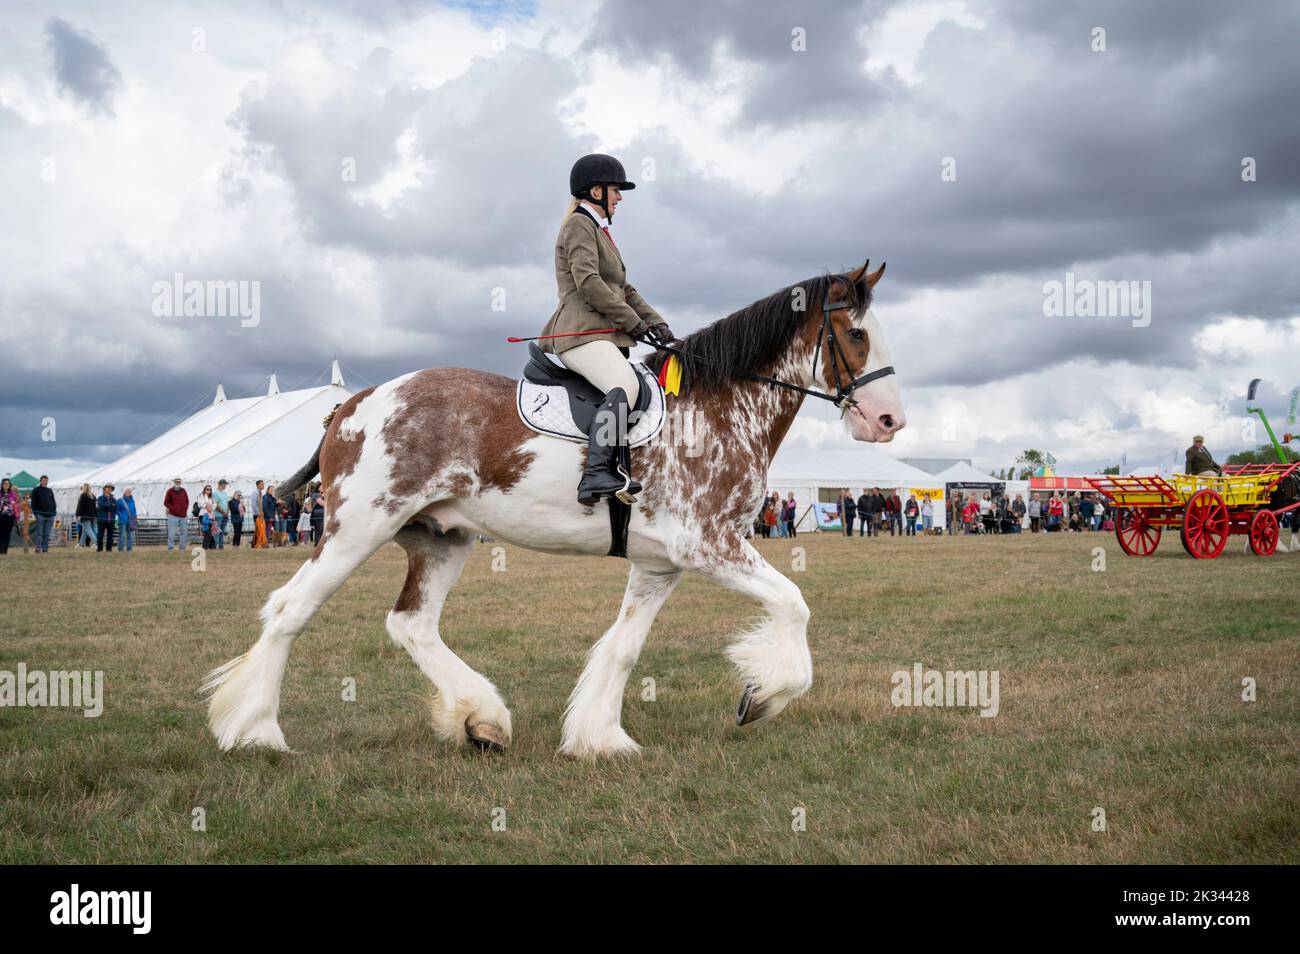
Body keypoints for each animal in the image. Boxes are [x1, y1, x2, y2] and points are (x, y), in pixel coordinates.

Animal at [208, 257, 909, 759]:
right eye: (855, 334)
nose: (889, 422)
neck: (716, 408)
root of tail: (353, 403)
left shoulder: (661, 564)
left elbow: (623, 649)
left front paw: (600, 738)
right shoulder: (707, 545)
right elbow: (794, 603)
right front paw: (763, 697)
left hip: (441, 537)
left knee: (412, 624)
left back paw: (481, 720)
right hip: (358, 528)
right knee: (290, 611)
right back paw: (256, 732)